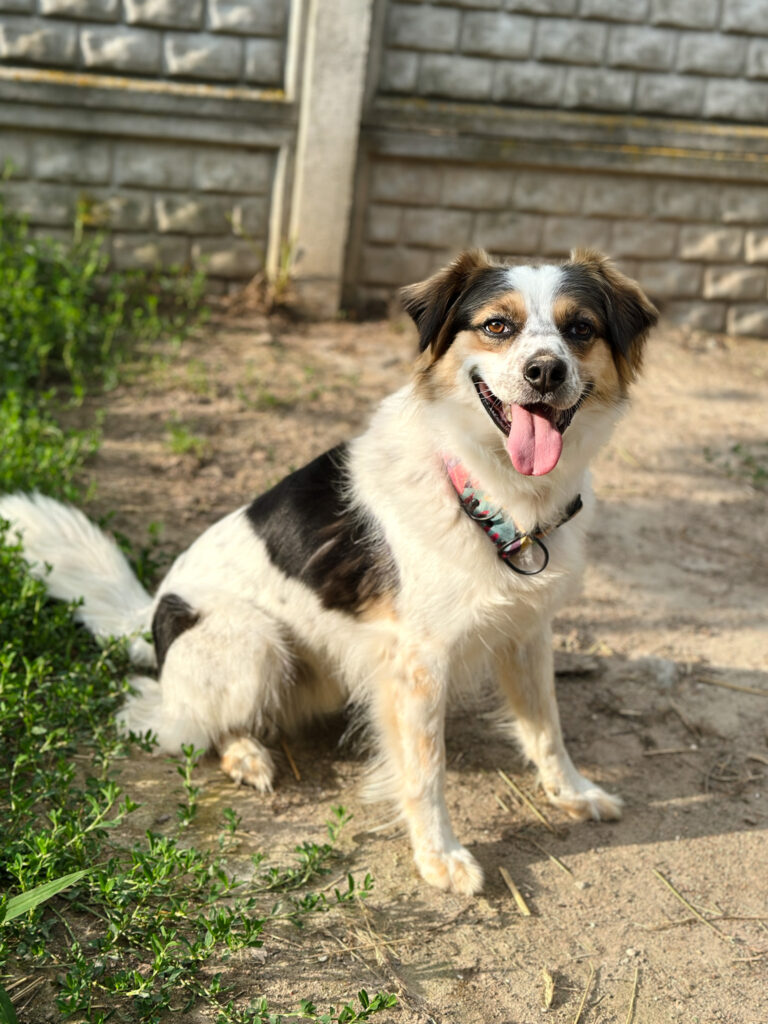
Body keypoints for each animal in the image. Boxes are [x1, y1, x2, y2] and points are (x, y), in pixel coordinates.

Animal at [0, 248, 657, 895]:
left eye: (580, 330)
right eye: (498, 326)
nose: (546, 372)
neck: (494, 492)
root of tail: (152, 608)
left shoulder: (527, 631)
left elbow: (547, 729)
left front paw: (574, 793)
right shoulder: (417, 664)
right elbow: (426, 770)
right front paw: (438, 857)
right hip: (254, 642)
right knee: (162, 716)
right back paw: (244, 754)